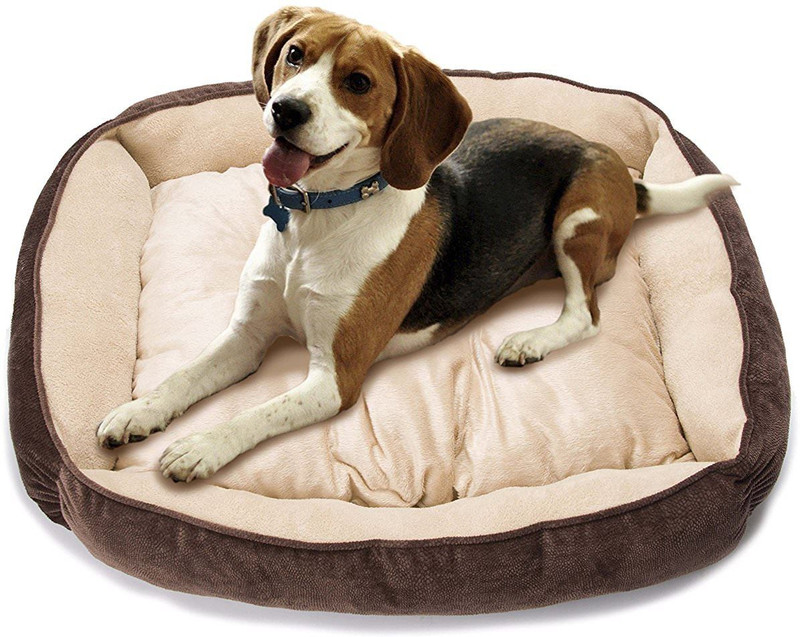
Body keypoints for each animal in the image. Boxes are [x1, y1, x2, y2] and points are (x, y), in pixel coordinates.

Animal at [96, 6, 736, 482]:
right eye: (294, 55)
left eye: (357, 83)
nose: (285, 108)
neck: (318, 217)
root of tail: (620, 169)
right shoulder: (246, 337)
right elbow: (182, 377)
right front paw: (138, 411)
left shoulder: (336, 378)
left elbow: (259, 410)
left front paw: (200, 446)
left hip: (576, 220)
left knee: (585, 315)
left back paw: (529, 341)